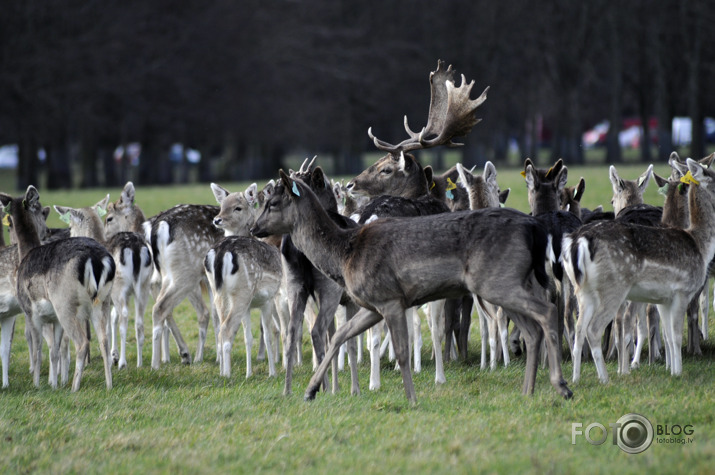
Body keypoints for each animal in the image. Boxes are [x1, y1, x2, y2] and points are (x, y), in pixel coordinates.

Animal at [0, 186, 114, 390]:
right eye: (41, 210)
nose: (47, 231)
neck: (25, 254)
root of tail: (95, 260)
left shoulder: (29, 310)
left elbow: (37, 348)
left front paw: (37, 384)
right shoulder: (53, 318)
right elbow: (54, 349)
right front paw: (53, 384)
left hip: (65, 303)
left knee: (82, 342)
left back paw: (74, 388)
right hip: (103, 301)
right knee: (104, 340)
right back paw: (108, 386)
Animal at [564, 158, 715, 384]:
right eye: (712, 174)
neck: (700, 245)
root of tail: (578, 242)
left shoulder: (664, 298)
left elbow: (668, 335)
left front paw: (672, 371)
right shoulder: (682, 291)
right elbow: (676, 334)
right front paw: (678, 373)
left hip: (583, 290)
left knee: (580, 329)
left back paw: (576, 379)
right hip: (614, 288)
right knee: (595, 328)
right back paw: (606, 378)